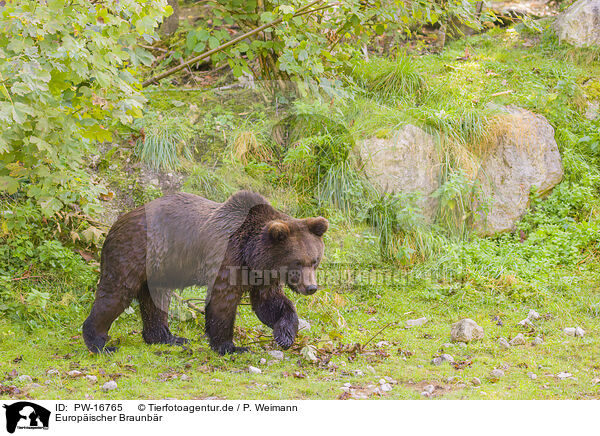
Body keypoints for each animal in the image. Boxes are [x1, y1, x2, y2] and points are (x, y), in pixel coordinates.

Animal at [82, 191, 328, 354]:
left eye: (314, 261)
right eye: (296, 262)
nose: (311, 287)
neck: (251, 254)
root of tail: (115, 222)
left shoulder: (261, 275)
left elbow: (271, 303)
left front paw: (285, 335)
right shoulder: (227, 258)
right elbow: (222, 302)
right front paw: (229, 346)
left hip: (158, 269)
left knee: (157, 299)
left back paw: (168, 338)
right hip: (134, 252)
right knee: (116, 293)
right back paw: (99, 343)